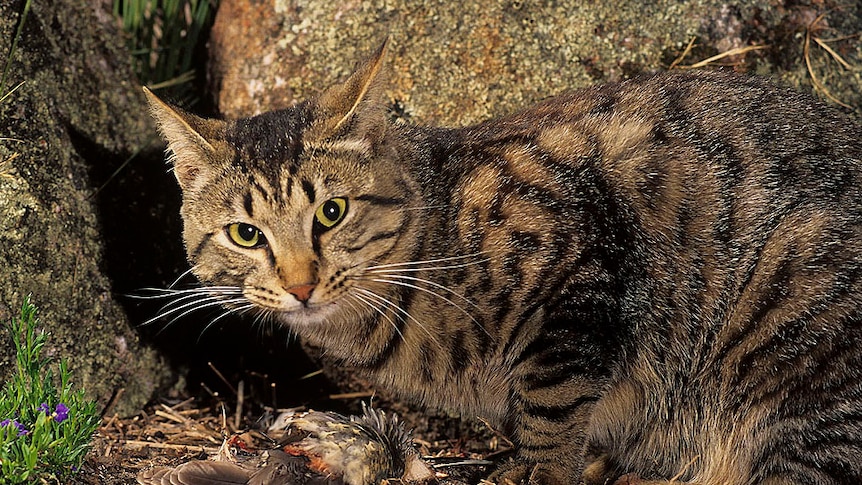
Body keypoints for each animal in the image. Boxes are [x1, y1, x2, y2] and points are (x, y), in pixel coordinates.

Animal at [143, 41, 862, 484]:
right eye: (245, 233)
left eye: (332, 212)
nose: (300, 284)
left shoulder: (577, 270)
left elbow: (552, 408)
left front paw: (539, 467)